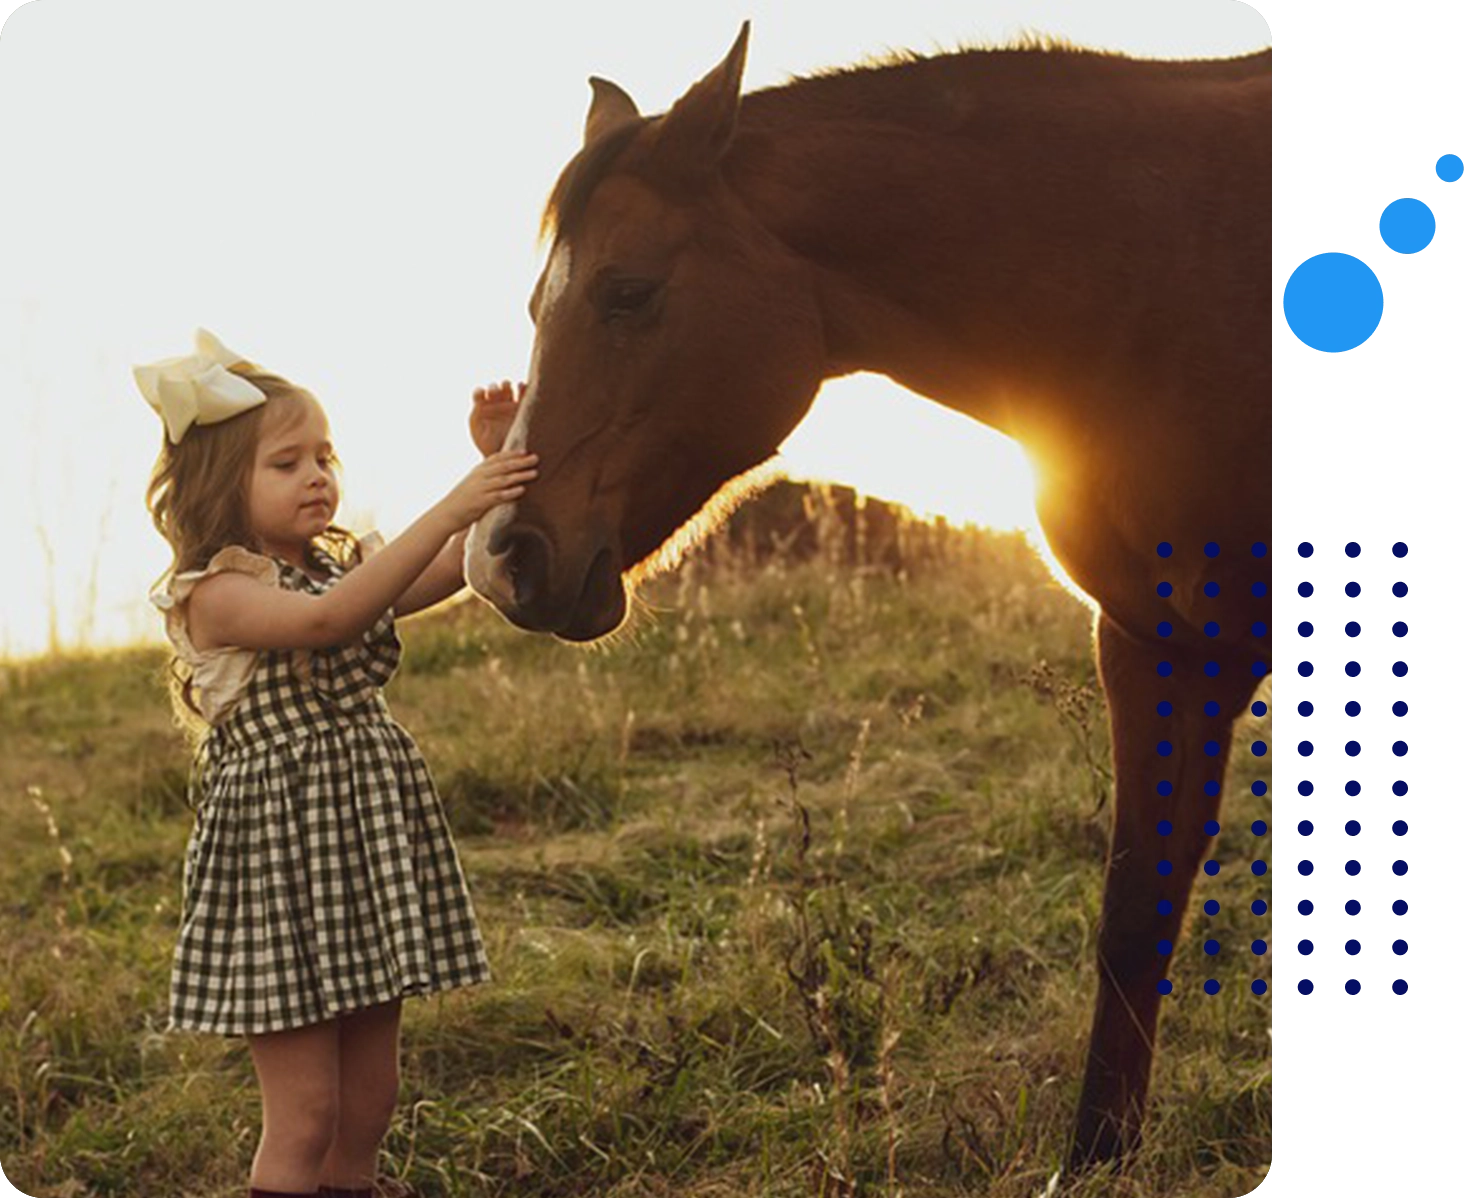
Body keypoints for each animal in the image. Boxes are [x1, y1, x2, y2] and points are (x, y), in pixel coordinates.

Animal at [463, 25, 1268, 1168]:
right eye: (540, 305)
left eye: (628, 291)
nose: (504, 560)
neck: (1164, 270)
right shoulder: (1155, 643)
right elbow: (1132, 915)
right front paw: (1097, 1157)